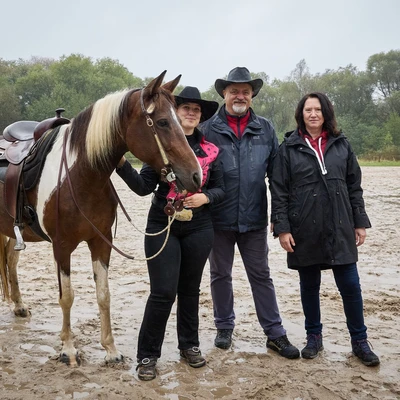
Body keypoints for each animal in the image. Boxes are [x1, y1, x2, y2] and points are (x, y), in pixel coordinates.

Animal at [0, 71, 200, 366]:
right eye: (163, 122)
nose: (196, 175)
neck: (81, 174)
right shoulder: (62, 247)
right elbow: (67, 297)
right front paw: (68, 349)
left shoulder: (101, 242)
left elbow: (104, 295)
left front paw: (111, 350)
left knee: (11, 262)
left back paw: (19, 305)